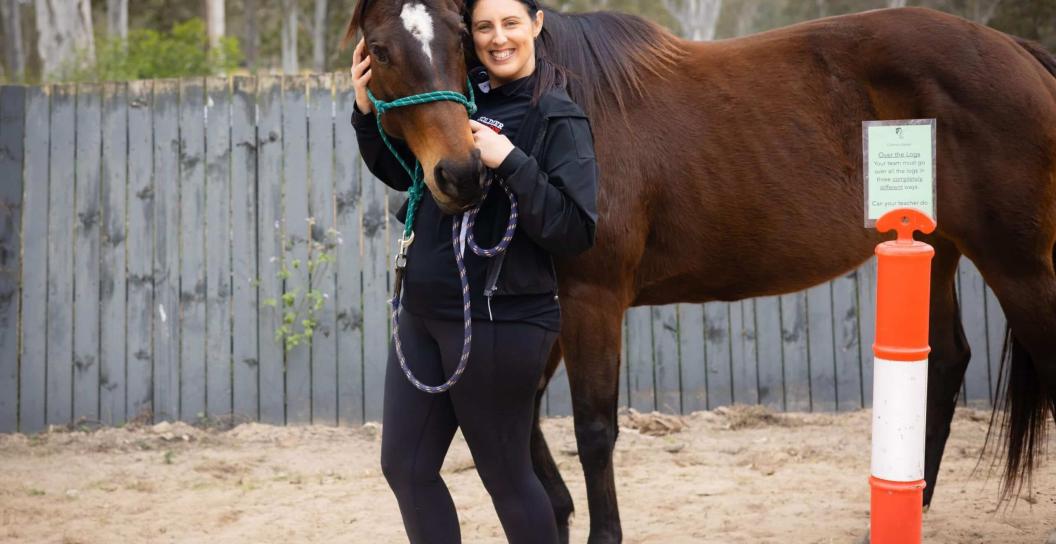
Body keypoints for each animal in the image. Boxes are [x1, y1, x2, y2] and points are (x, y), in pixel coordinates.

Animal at [343, 3, 1056, 542]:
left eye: (461, 38)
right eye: (379, 48)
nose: (460, 175)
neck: (562, 96)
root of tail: (1020, 53)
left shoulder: (591, 299)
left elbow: (591, 429)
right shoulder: (546, 312)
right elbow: (522, 418)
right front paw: (560, 513)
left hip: (1017, 263)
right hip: (936, 248)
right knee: (947, 361)